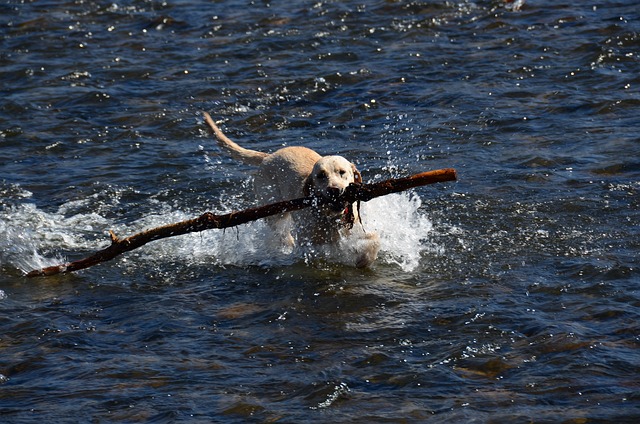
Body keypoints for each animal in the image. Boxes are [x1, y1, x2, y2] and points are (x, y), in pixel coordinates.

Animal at [202, 111, 378, 266]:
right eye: (321, 175)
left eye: (342, 172)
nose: (334, 190)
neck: (328, 216)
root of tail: (268, 157)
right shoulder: (309, 242)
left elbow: (373, 241)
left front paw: (363, 259)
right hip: (274, 211)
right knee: (282, 234)